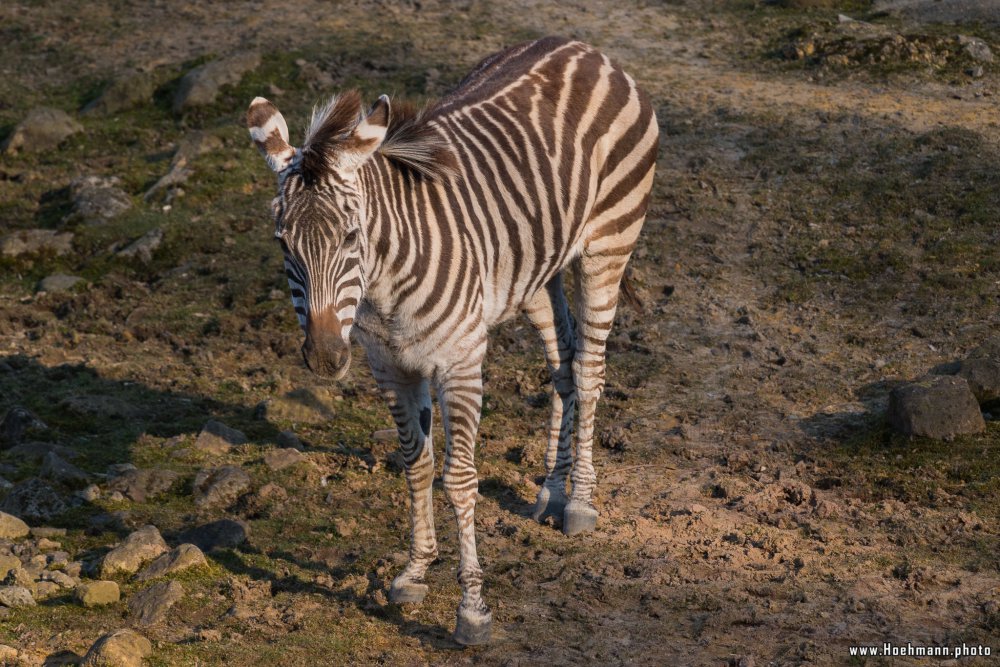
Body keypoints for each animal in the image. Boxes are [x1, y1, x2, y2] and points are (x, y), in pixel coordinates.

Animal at [247, 37, 660, 648]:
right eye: (282, 243)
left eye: (351, 236)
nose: (324, 357)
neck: (383, 286)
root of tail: (584, 49)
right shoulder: (389, 365)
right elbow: (415, 462)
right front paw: (416, 571)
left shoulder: (459, 362)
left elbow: (459, 480)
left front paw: (472, 609)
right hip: (536, 272)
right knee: (562, 367)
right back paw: (552, 490)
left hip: (608, 246)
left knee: (588, 369)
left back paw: (581, 502)